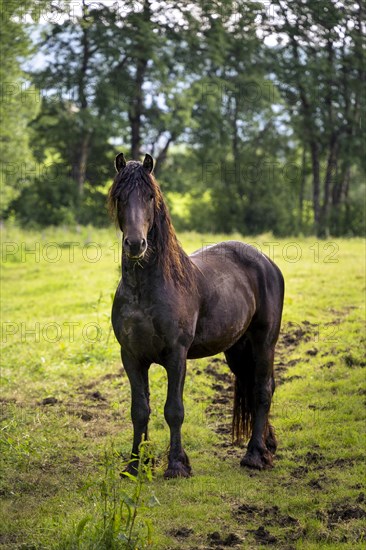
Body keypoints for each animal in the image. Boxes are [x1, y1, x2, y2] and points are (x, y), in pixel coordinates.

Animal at [107, 153, 284, 480]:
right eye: (120, 196)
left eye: (150, 197)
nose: (136, 244)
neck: (146, 289)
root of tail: (265, 261)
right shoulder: (132, 356)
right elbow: (140, 410)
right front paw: (136, 464)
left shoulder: (176, 355)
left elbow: (173, 410)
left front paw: (177, 465)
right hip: (237, 350)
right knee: (255, 386)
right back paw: (268, 444)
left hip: (264, 342)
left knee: (263, 389)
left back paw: (254, 455)